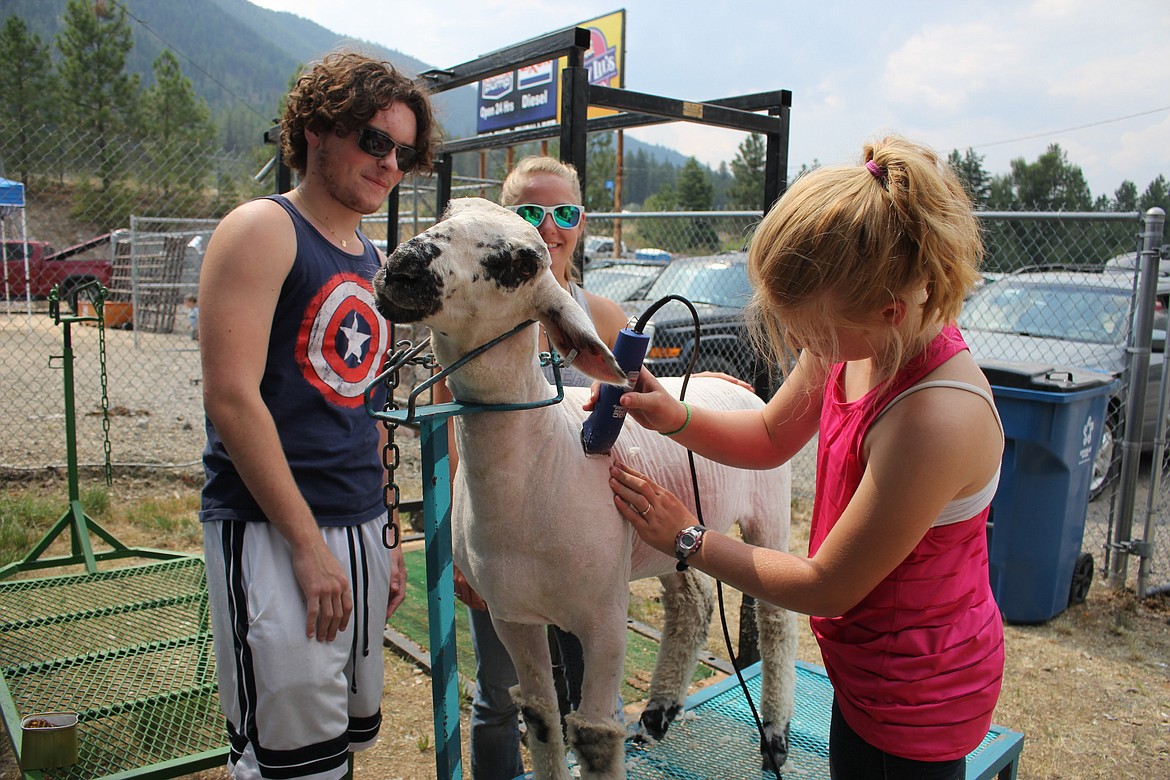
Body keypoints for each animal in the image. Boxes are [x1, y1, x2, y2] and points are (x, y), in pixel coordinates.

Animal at [374, 198, 795, 776]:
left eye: (522, 262)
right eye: (445, 213)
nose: (402, 269)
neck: (541, 461)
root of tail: (742, 388)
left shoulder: (603, 618)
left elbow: (594, 735)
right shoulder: (512, 615)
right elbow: (542, 717)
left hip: (769, 511)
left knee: (776, 620)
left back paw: (774, 735)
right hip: (667, 533)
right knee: (691, 602)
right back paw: (658, 713)